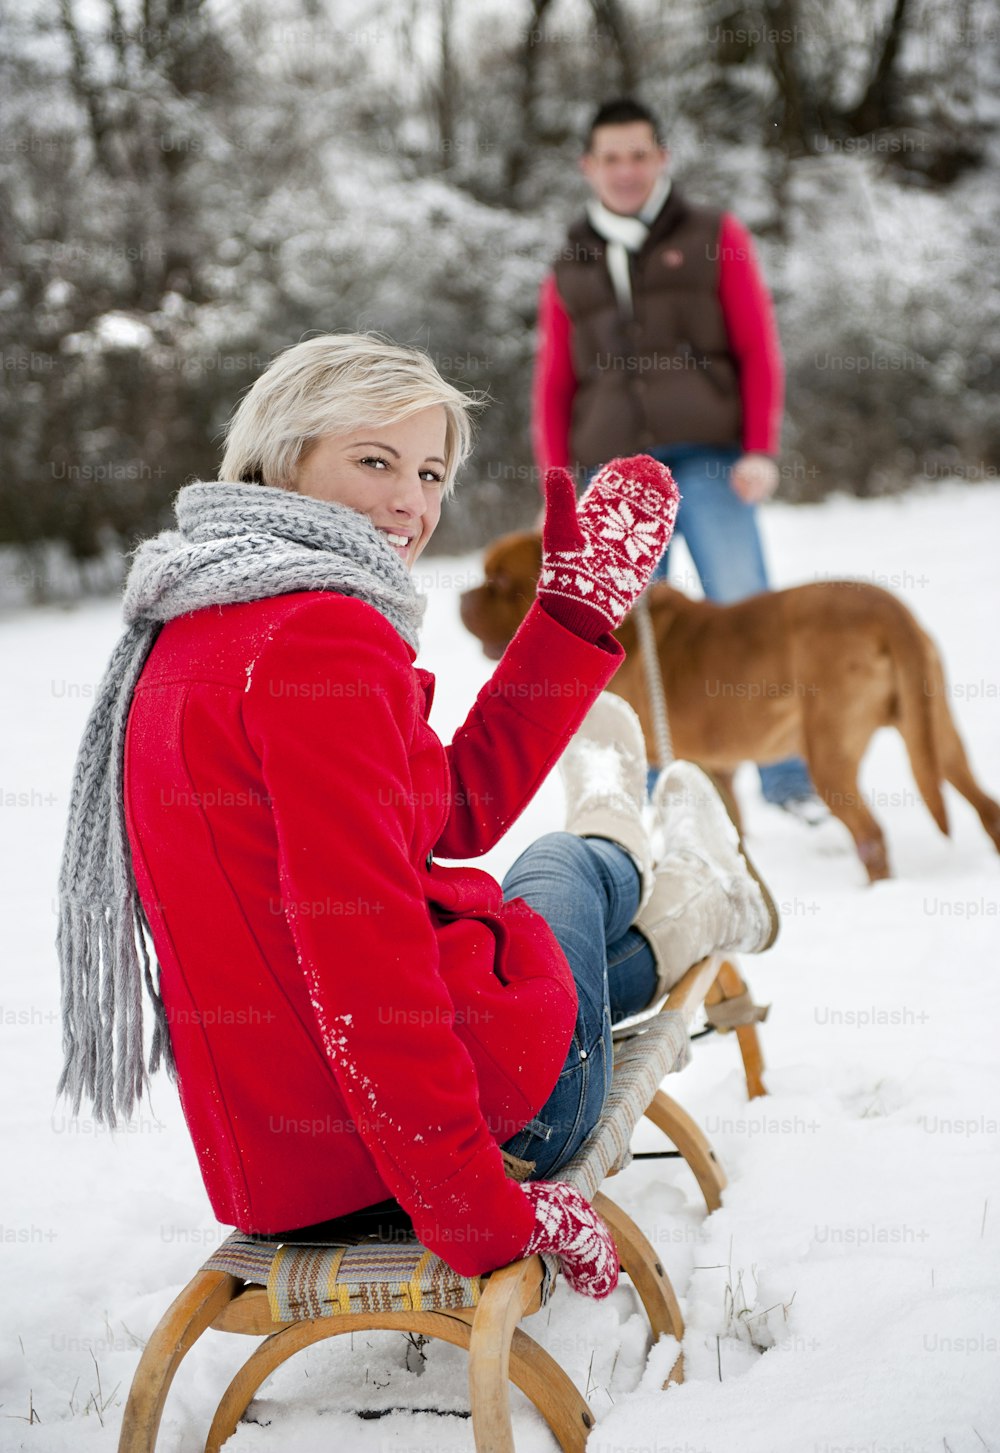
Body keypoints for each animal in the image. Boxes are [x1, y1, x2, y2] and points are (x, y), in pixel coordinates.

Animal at [459, 528, 1000, 877]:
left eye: (499, 582)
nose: (460, 598)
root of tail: (890, 610)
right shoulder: (715, 768)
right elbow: (731, 829)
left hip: (829, 754)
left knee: (871, 836)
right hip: (937, 735)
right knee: (984, 805)